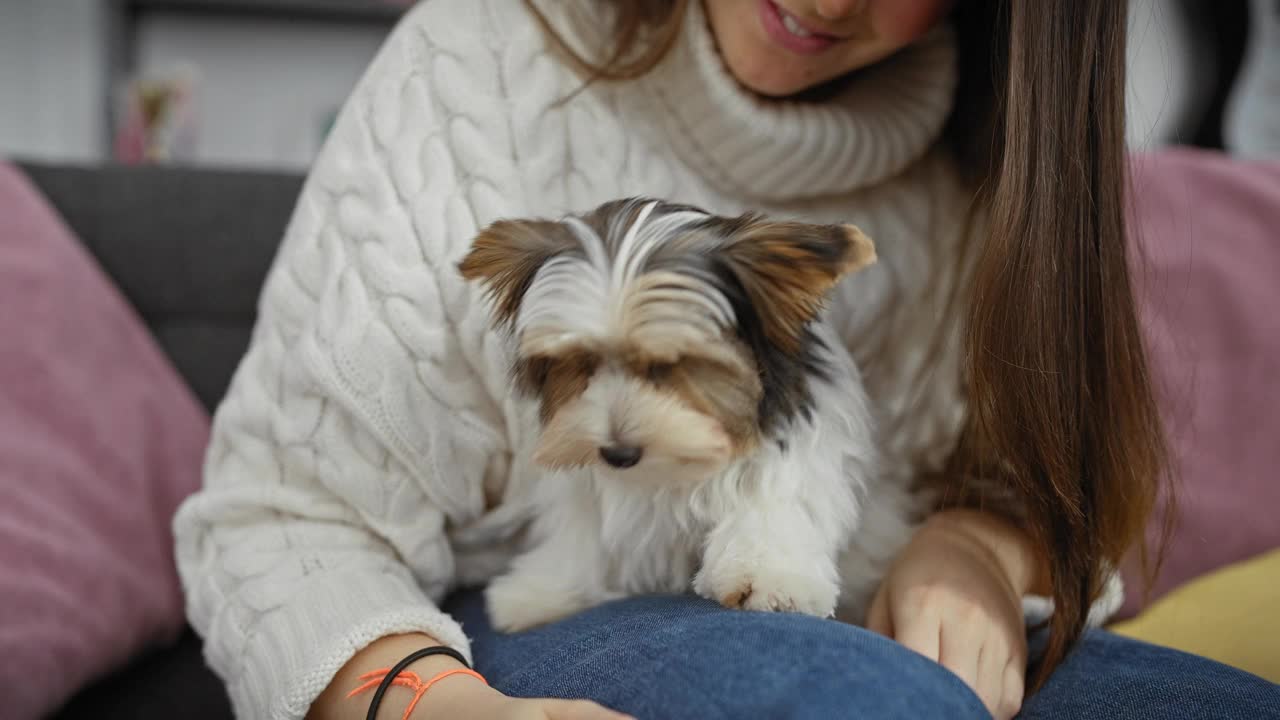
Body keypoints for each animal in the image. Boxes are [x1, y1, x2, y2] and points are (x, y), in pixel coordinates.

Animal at [460, 196, 890, 627]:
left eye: (672, 364)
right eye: (582, 362)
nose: (617, 454)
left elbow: (771, 501)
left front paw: (766, 576)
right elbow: (586, 532)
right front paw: (545, 590)